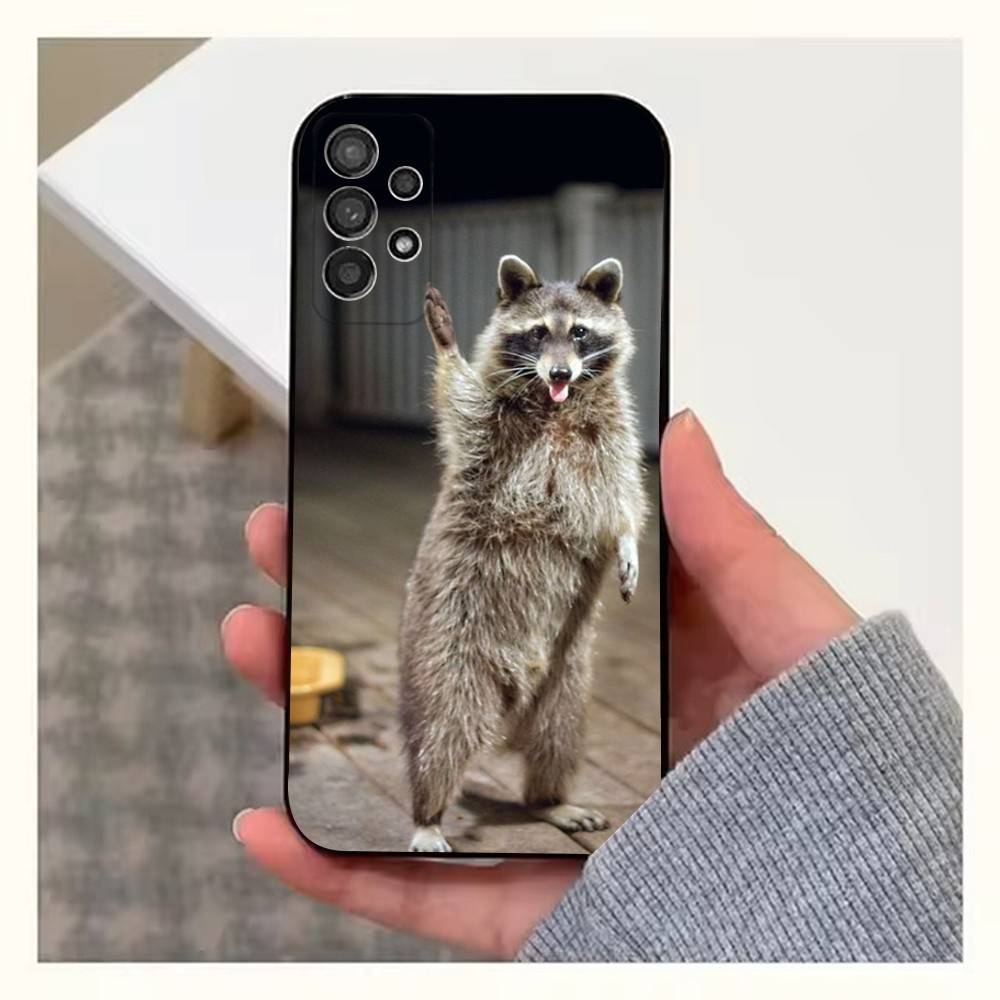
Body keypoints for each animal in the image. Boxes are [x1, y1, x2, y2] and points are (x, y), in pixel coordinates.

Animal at [399, 255, 647, 853]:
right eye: (537, 334)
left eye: (579, 333)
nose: (559, 374)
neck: (557, 406)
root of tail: (514, 697)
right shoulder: (487, 427)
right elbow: (459, 402)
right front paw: (446, 343)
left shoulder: (615, 431)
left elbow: (625, 495)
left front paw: (629, 540)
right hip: (448, 647)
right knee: (443, 730)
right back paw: (428, 813)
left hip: (569, 672)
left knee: (558, 736)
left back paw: (548, 798)